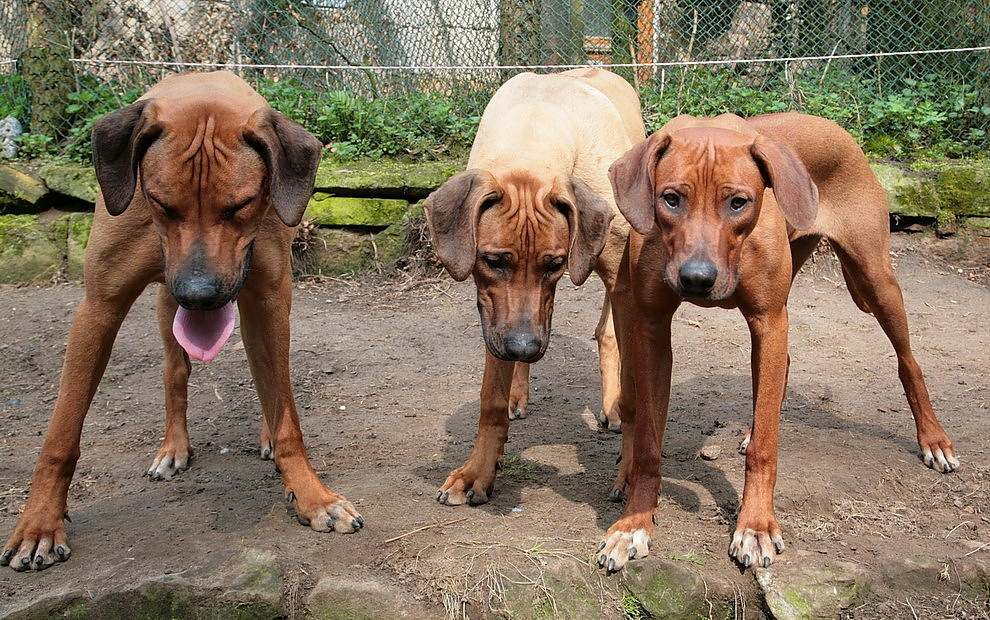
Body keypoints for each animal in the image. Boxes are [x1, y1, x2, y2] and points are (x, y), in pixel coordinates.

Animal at [0, 71, 364, 572]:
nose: (199, 295)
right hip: (163, 305)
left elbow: (285, 412)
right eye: (159, 201)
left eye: (241, 205)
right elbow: (60, 434)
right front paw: (38, 526)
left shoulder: (267, 299)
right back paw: (172, 448)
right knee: (176, 370)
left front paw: (313, 497)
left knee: (272, 381)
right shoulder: (98, 308)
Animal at [428, 68, 652, 506]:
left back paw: (612, 406)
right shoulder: (495, 316)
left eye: (555, 264)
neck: (534, 129)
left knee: (608, 333)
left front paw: (632, 470)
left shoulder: (620, 279)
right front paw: (477, 471)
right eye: (493, 261)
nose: (525, 347)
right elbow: (491, 399)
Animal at [596, 110, 960, 572]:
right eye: (671, 199)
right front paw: (634, 525)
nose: (697, 278)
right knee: (780, 370)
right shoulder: (651, 327)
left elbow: (766, 449)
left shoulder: (767, 320)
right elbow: (647, 443)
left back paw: (934, 440)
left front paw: (755, 527)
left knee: (907, 362)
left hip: (875, 279)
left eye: (739, 202)